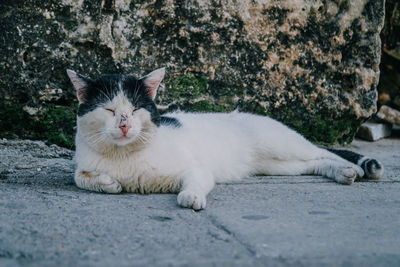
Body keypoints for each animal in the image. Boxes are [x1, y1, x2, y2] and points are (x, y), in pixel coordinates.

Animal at [66, 68, 384, 210]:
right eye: (109, 110)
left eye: (134, 109)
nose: (124, 125)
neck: (124, 156)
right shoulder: (83, 163)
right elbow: (80, 177)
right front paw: (108, 182)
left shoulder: (196, 168)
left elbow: (195, 182)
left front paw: (191, 196)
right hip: (280, 165)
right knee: (315, 162)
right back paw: (342, 173)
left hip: (282, 145)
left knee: (324, 152)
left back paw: (350, 169)